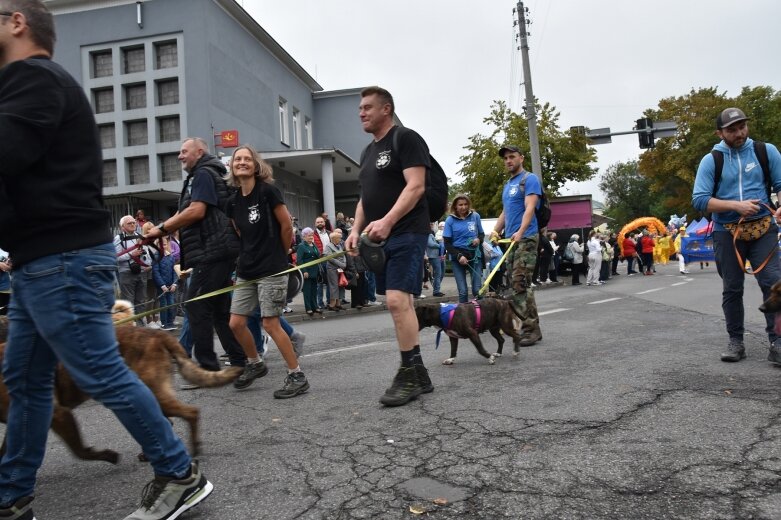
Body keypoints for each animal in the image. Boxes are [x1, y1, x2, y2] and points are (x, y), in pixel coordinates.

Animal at [0, 300, 241, 464]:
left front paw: (107, 456)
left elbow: (79, 451)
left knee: (190, 413)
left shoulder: (58, 415)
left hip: (153, 393)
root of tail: (155, 335)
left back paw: (193, 448)